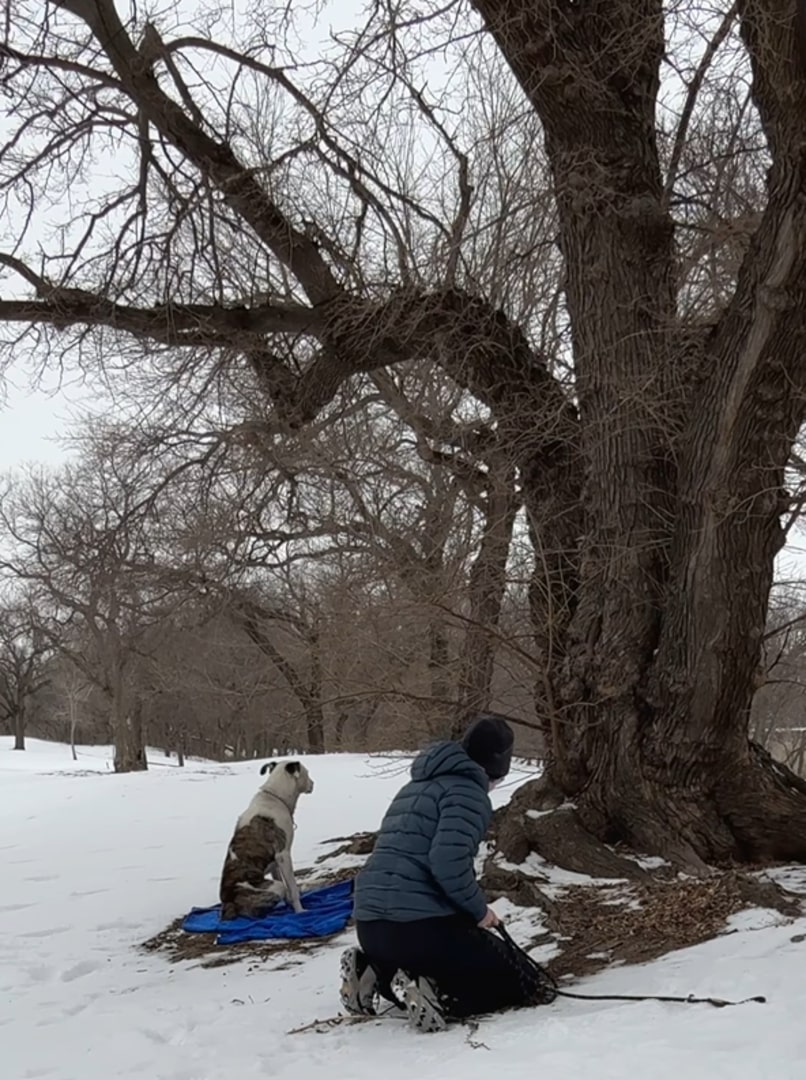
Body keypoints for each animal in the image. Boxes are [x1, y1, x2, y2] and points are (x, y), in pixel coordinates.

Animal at [218, 760, 313, 920]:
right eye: (307, 773)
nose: (313, 783)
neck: (275, 796)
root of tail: (228, 903)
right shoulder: (283, 855)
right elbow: (292, 887)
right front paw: (300, 911)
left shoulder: (276, 862)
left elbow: (282, 880)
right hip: (269, 888)